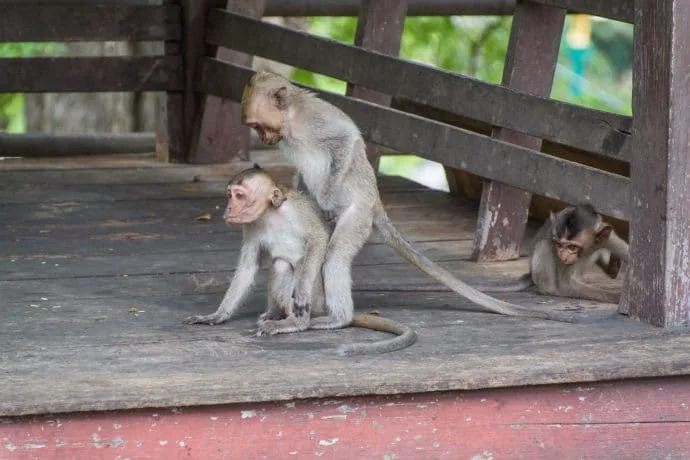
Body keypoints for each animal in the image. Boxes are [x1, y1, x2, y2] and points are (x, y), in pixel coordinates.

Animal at [184, 164, 417, 355]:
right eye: (229, 195)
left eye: (239, 195)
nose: (229, 208)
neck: (269, 213)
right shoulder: (250, 226)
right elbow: (247, 269)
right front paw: (216, 316)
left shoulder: (296, 211)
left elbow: (318, 239)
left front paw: (302, 292)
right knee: (279, 265)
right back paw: (275, 313)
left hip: (318, 298)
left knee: (290, 269)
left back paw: (297, 323)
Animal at [241, 71, 579, 324]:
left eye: (258, 125)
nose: (262, 138)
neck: (291, 122)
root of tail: (375, 201)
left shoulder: (315, 120)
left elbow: (348, 138)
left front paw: (326, 197)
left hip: (359, 213)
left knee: (335, 253)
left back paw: (338, 318)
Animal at [475, 204, 630, 304]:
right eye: (559, 245)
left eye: (572, 247)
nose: (562, 254)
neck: (588, 248)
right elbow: (566, 285)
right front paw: (616, 297)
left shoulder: (608, 239)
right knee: (544, 245)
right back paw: (551, 291)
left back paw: (612, 269)